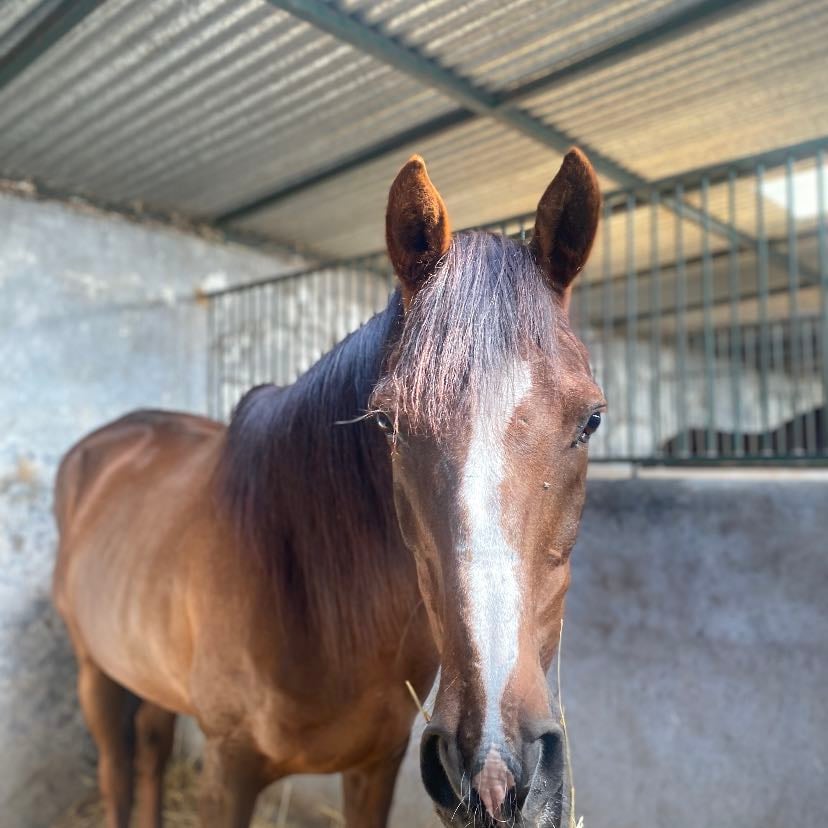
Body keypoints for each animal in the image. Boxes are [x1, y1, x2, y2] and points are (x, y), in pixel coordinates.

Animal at [52, 148, 603, 828]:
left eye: (591, 420)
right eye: (387, 423)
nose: (494, 774)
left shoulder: (378, 763)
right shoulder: (227, 768)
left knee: (152, 748)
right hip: (94, 672)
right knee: (117, 769)